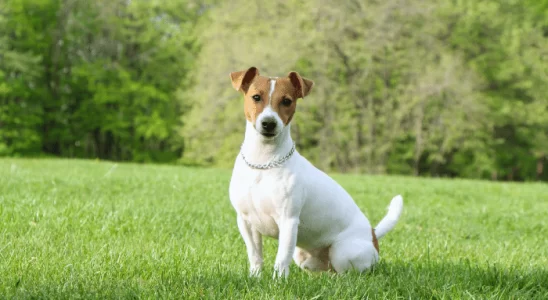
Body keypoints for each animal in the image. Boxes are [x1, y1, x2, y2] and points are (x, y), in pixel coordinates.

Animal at [227, 67, 402, 278]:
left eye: (287, 101)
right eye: (256, 97)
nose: (269, 123)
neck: (264, 161)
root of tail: (373, 234)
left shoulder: (288, 221)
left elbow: (281, 258)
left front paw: (278, 281)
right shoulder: (246, 222)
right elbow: (255, 256)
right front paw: (255, 278)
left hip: (342, 252)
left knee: (348, 273)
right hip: (303, 257)